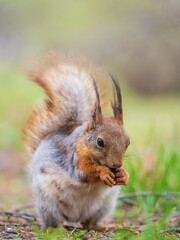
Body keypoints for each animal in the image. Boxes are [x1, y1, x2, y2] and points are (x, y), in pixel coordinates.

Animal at [24, 54, 130, 229]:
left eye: (128, 142)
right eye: (100, 141)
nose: (116, 165)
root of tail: (74, 217)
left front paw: (123, 174)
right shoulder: (74, 159)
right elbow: (84, 173)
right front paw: (102, 172)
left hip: (105, 204)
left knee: (89, 222)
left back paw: (99, 226)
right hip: (47, 201)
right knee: (54, 221)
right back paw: (59, 229)